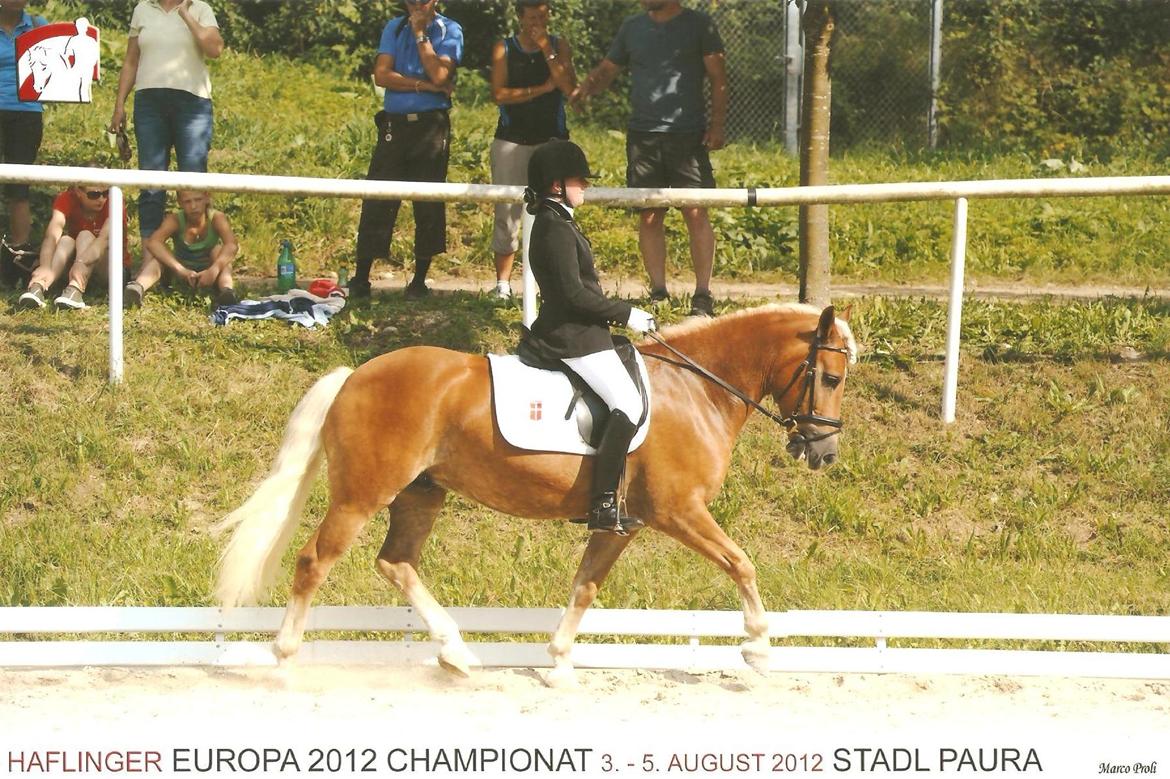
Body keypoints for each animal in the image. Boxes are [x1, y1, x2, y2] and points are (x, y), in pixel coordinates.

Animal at [215, 299, 861, 683]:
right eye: (830, 376)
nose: (823, 453)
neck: (695, 389)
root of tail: (357, 374)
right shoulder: (679, 510)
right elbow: (741, 563)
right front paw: (758, 648)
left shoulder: (621, 523)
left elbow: (585, 587)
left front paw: (557, 663)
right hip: (362, 494)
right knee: (313, 561)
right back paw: (284, 659)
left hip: (421, 493)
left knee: (395, 563)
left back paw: (457, 653)